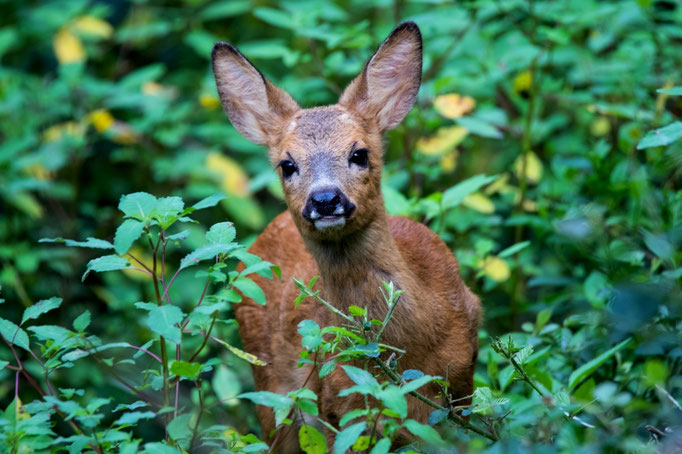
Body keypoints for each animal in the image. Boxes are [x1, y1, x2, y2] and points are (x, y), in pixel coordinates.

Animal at [211, 22, 481, 451]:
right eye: (287, 164)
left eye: (360, 153)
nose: (325, 199)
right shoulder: (341, 406)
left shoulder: (462, 388)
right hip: (271, 391)